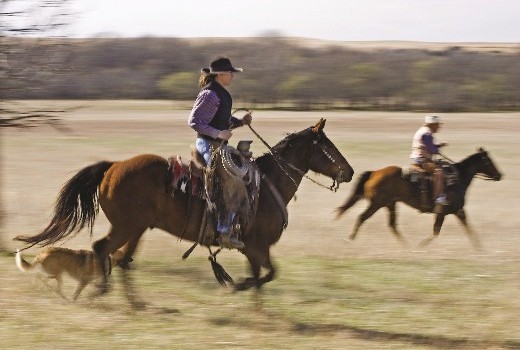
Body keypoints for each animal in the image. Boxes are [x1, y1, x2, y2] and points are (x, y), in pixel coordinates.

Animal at [16, 119, 356, 302]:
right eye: (328, 146)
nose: (350, 172)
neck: (268, 185)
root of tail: (112, 166)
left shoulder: (256, 250)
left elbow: (264, 277)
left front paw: (251, 304)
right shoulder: (255, 246)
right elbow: (265, 276)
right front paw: (235, 288)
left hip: (137, 228)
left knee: (121, 259)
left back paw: (134, 303)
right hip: (127, 226)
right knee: (104, 250)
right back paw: (102, 290)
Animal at [336, 148, 502, 249]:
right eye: (488, 161)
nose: (500, 175)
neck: (458, 179)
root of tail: (374, 173)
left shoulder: (457, 211)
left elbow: (468, 228)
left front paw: (479, 249)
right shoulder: (445, 212)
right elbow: (436, 231)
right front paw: (420, 247)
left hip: (390, 204)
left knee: (392, 225)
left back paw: (406, 246)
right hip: (377, 204)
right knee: (362, 217)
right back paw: (350, 240)